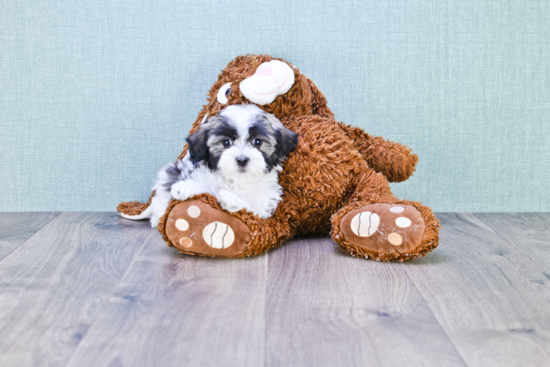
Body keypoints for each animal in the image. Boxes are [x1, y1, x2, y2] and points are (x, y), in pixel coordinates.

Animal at [121, 103, 300, 229]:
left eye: (257, 142)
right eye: (226, 143)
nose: (242, 159)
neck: (236, 181)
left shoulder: (263, 210)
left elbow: (249, 207)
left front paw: (229, 199)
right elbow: (203, 188)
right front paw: (183, 188)